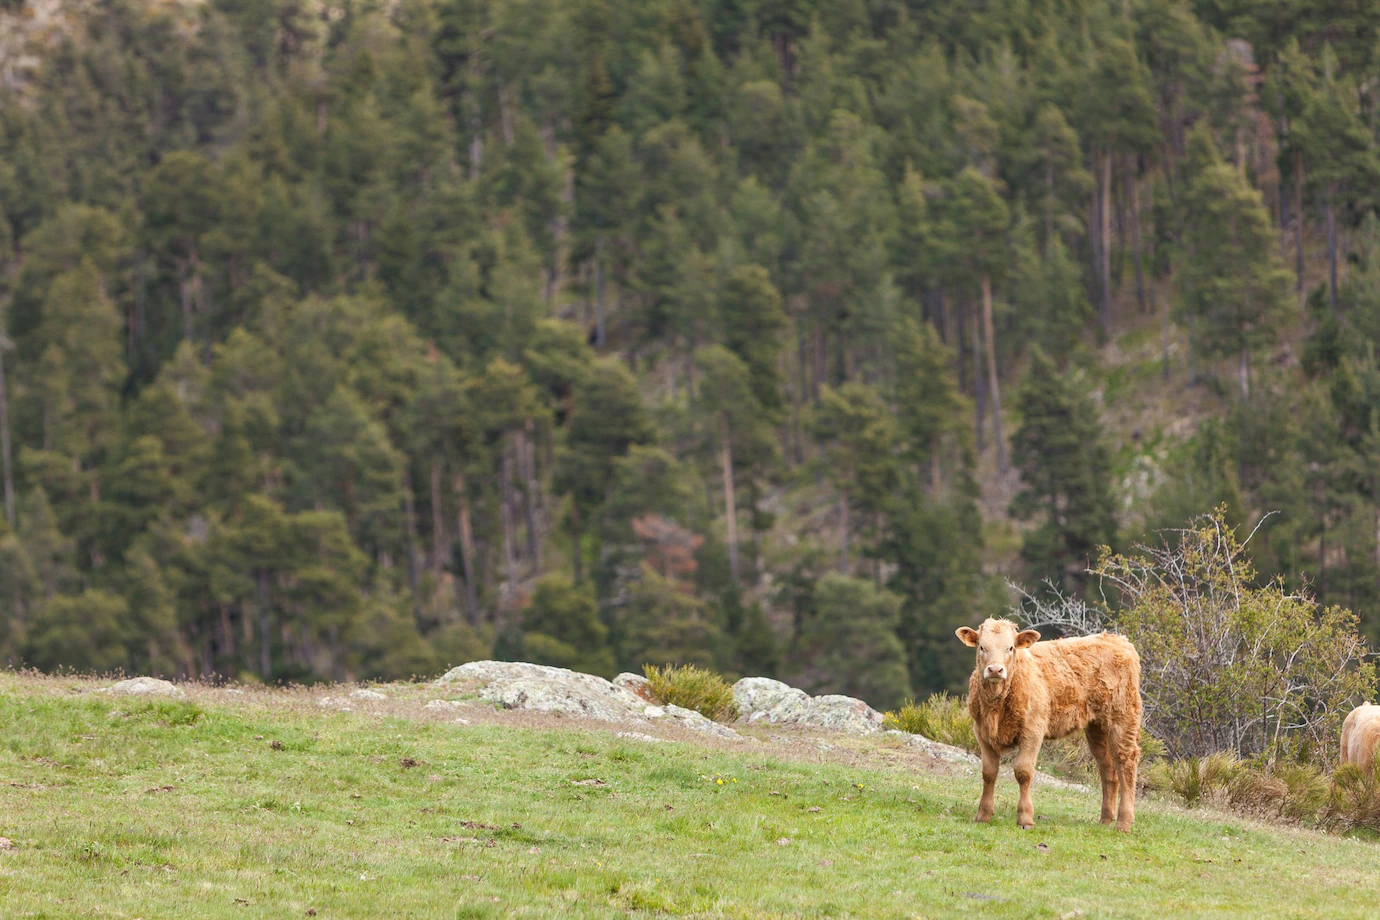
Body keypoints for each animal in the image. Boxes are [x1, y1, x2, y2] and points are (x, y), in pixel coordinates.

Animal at [960, 617, 1142, 833]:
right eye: (982, 647)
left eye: (1010, 647)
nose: (995, 670)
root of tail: (1117, 639)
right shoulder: (982, 732)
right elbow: (988, 772)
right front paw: (983, 815)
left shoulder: (1033, 730)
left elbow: (1023, 771)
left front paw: (1025, 818)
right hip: (1097, 727)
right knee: (1107, 768)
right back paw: (1105, 820)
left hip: (1123, 719)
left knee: (1126, 763)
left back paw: (1123, 823)